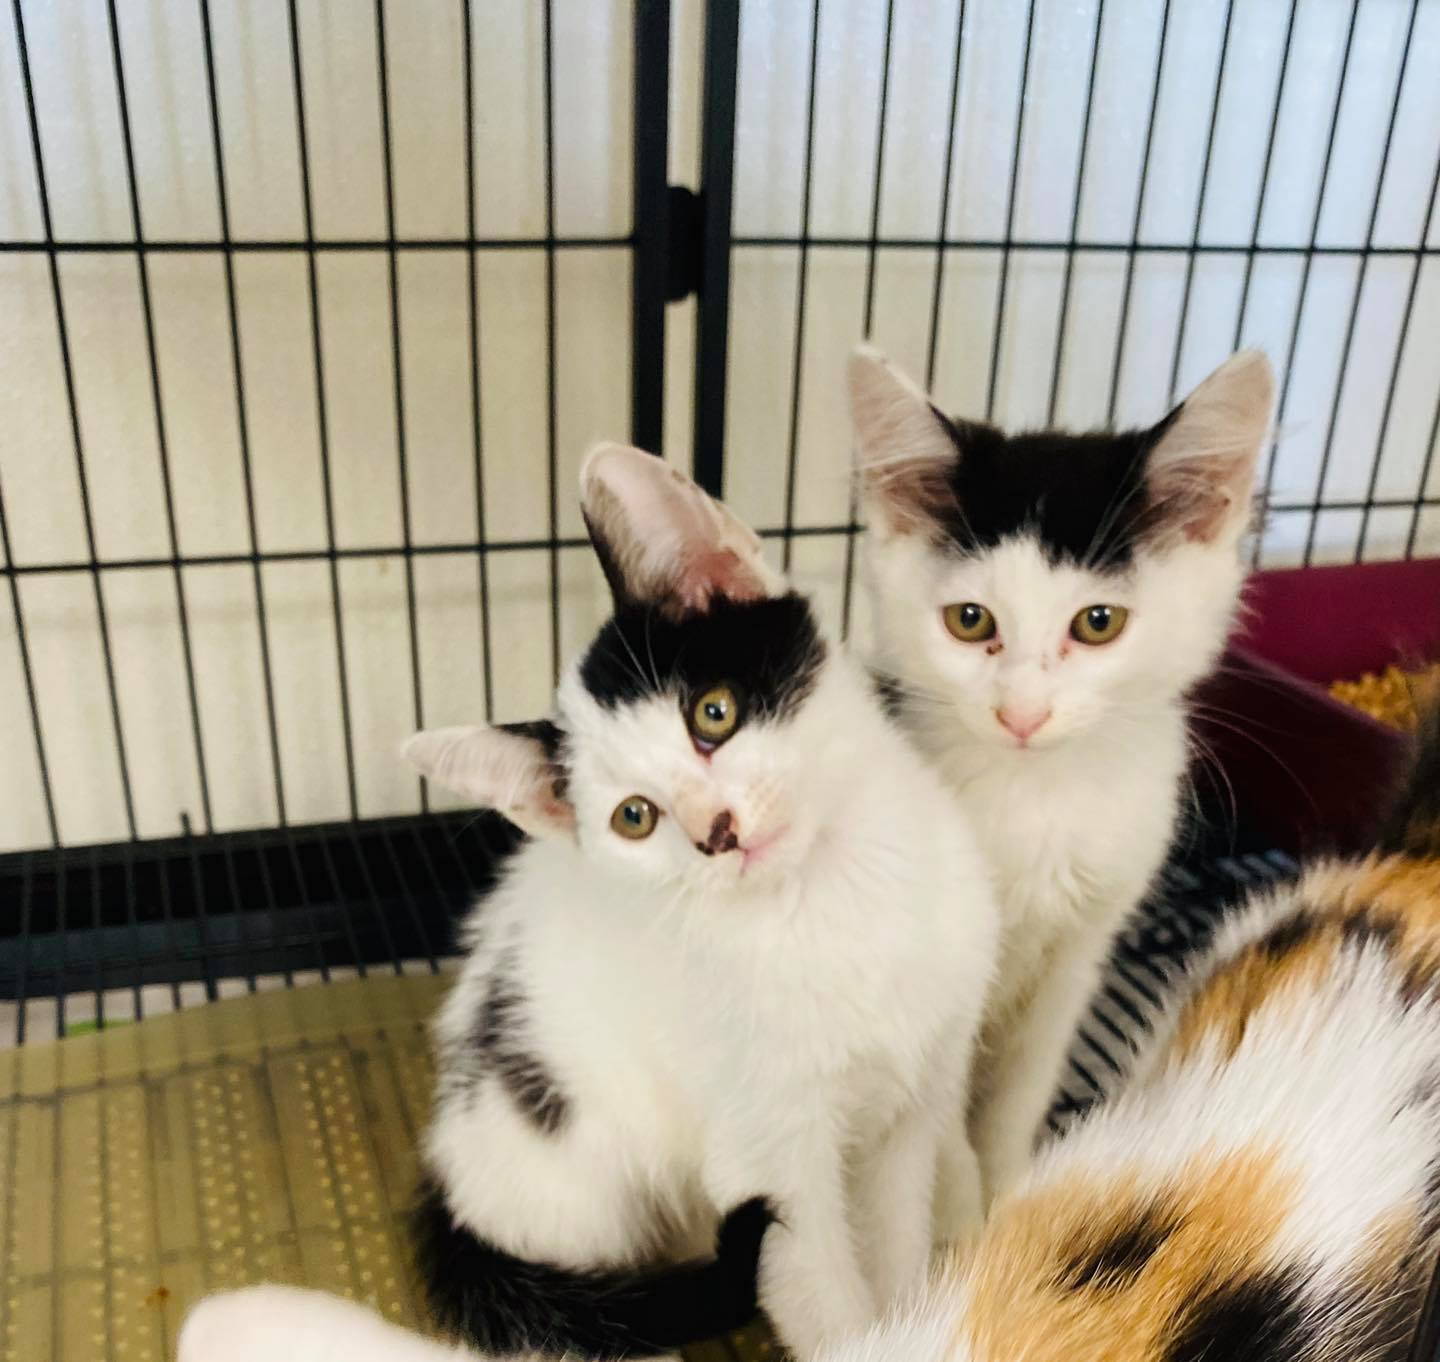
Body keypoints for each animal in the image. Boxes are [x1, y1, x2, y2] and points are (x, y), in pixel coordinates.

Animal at [183, 444, 996, 1362]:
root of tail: (445, 1168)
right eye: (634, 818)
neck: (833, 897)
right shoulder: (768, 1155)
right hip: (576, 1173)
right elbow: (820, 1293)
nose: (714, 832)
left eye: (714, 712)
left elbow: (898, 1239)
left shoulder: (913, 1111)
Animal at [847, 346, 1274, 1204]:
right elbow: (944, 1126)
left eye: (1098, 623)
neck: (1038, 797)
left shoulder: (1085, 945)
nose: (1023, 714)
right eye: (970, 620)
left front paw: (1013, 1185)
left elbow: (1022, 1091)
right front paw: (963, 1217)